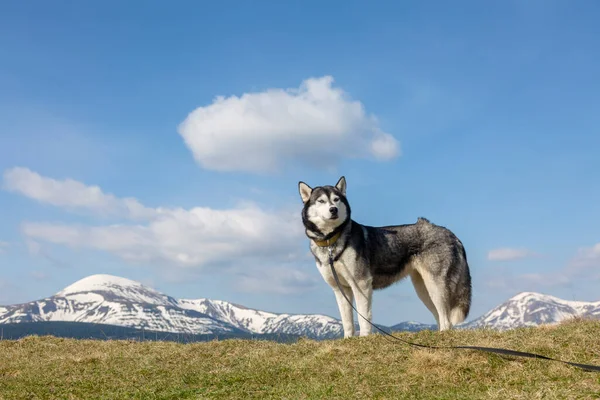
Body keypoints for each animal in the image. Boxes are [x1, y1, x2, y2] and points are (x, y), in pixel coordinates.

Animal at [298, 177, 472, 336]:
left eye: (336, 199)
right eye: (321, 201)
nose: (333, 209)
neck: (331, 241)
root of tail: (451, 234)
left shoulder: (361, 284)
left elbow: (363, 317)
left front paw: (364, 338)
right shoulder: (340, 289)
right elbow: (347, 320)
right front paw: (348, 340)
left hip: (436, 286)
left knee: (446, 319)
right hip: (423, 289)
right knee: (440, 316)